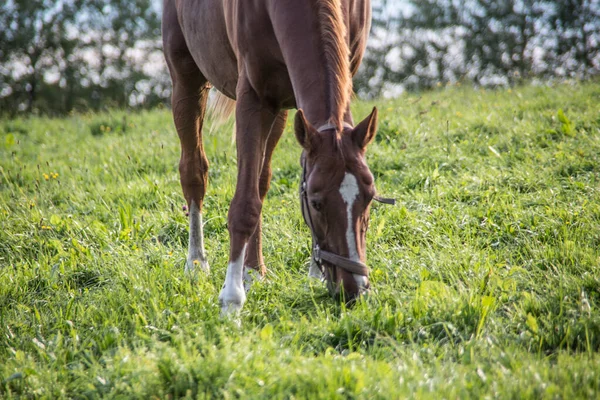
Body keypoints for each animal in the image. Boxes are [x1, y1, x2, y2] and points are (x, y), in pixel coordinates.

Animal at [162, 0, 386, 316]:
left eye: (369, 197)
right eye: (316, 203)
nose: (354, 290)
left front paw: (313, 275)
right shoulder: (253, 98)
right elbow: (244, 206)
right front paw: (231, 301)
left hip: (279, 111)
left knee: (261, 179)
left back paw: (253, 271)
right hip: (186, 79)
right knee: (194, 172)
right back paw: (196, 264)